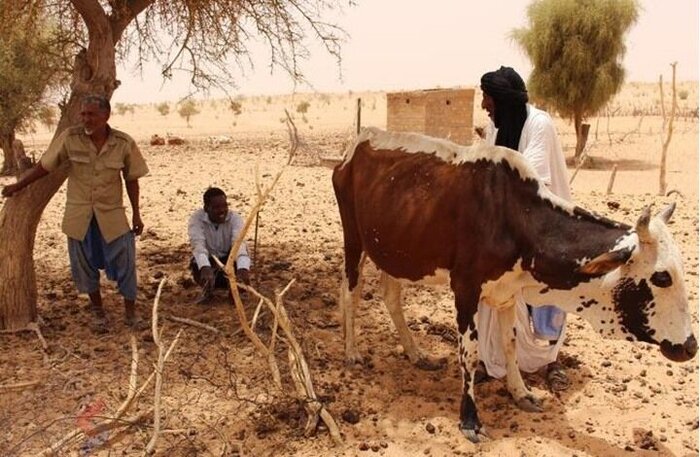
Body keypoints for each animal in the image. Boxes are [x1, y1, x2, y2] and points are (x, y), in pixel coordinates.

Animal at [332, 126, 696, 440]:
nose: (691, 347)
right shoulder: (465, 289)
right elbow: (469, 353)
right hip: (354, 240)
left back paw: (416, 354)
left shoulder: (506, 293)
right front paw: (469, 420)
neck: (514, 217)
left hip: (393, 252)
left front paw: (521, 392)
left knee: (391, 297)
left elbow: (510, 343)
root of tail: (357, 144)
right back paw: (351, 353)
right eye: (661, 277)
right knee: (350, 292)